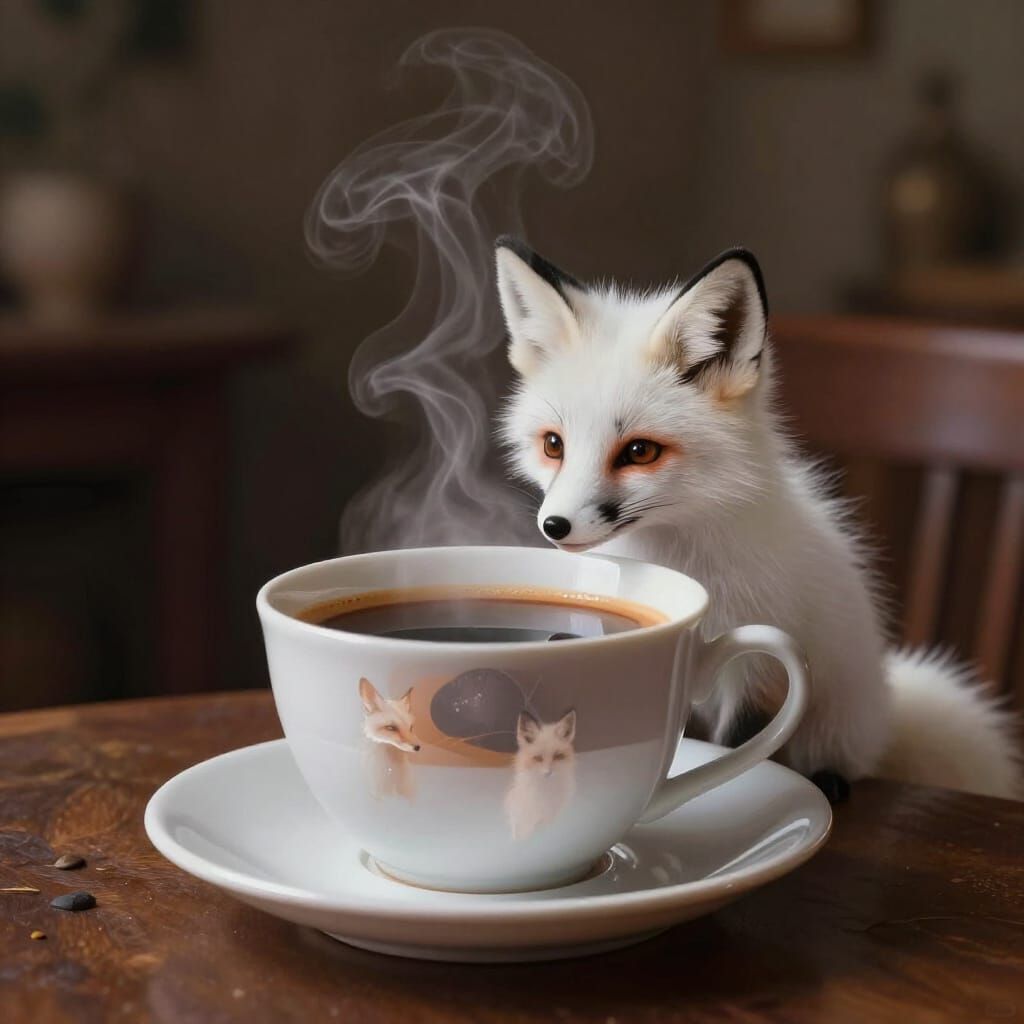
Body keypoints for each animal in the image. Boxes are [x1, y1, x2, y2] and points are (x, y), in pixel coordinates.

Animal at [495, 235, 1021, 803]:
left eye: (639, 452)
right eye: (554, 445)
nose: (555, 526)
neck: (684, 560)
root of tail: (885, 709)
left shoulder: (760, 664)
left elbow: (735, 743)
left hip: (835, 722)